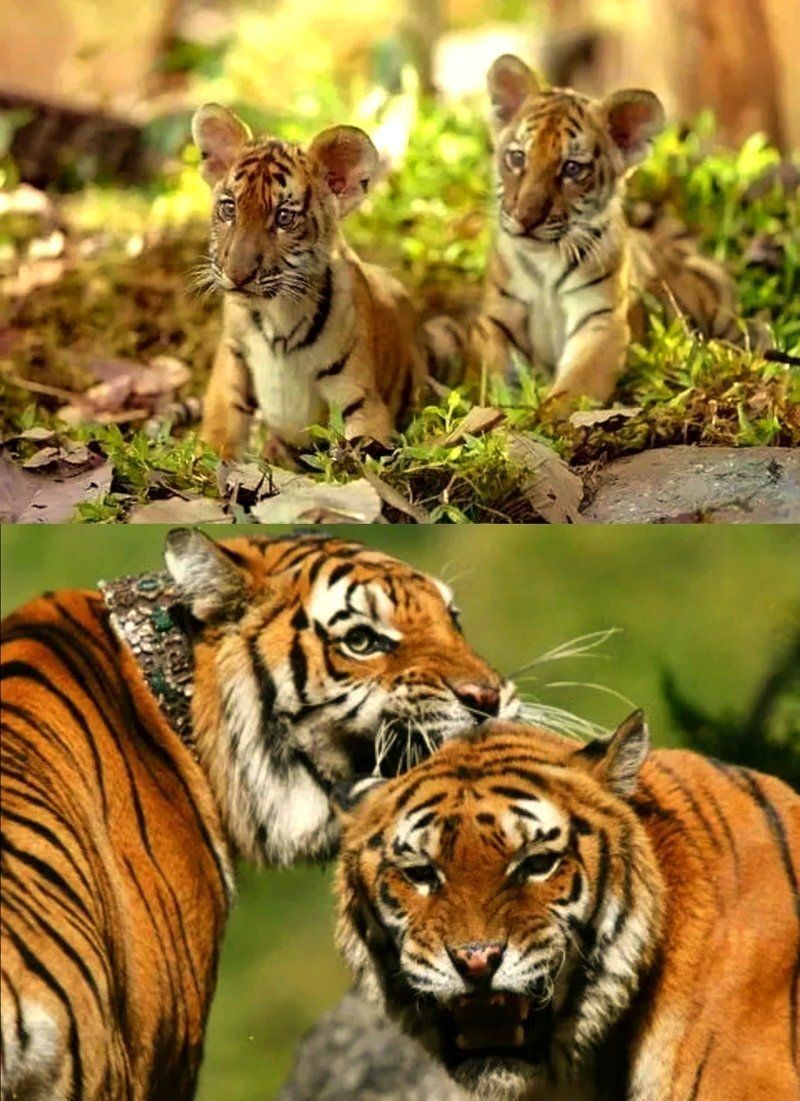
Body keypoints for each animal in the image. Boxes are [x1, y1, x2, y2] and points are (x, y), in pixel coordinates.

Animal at [191, 105, 427, 464]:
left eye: (284, 218)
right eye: (229, 208)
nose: (236, 274)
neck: (277, 315)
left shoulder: (362, 399)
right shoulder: (232, 361)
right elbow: (221, 428)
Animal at [470, 54, 739, 403]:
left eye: (572, 168)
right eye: (517, 158)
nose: (525, 218)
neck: (545, 263)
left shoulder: (601, 320)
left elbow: (576, 387)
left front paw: (546, 414)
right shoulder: (496, 320)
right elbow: (501, 376)